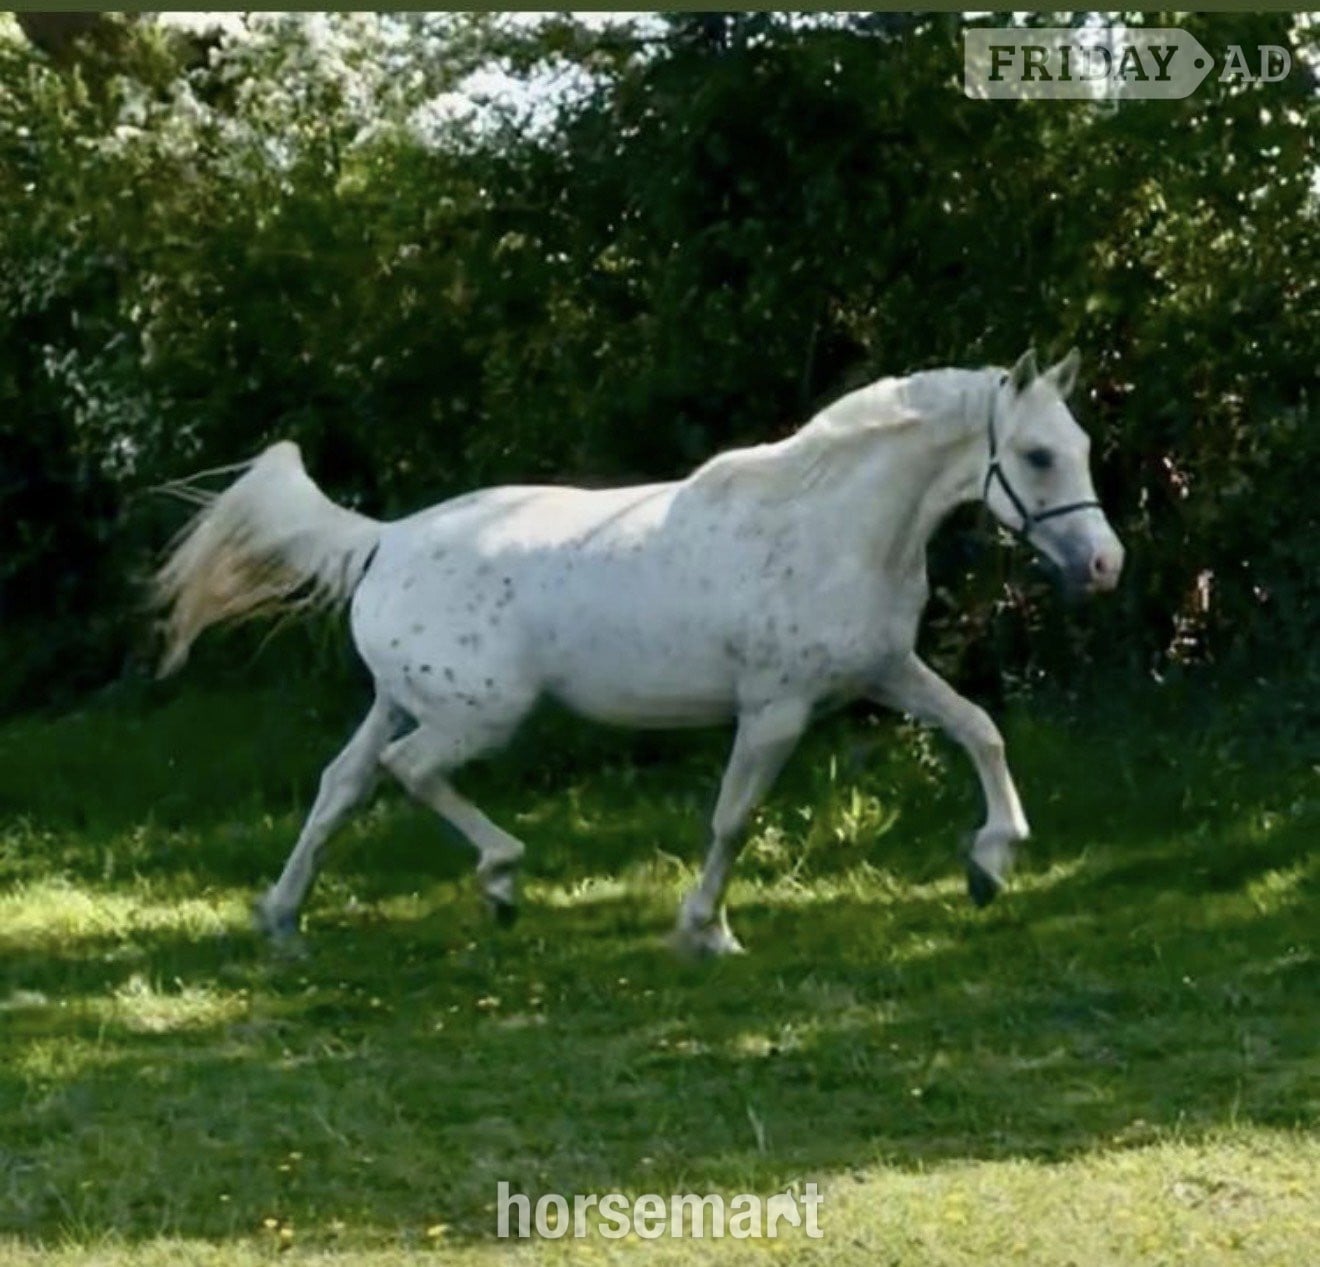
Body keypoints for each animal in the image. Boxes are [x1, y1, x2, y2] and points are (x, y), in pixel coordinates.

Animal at [154, 347, 1123, 955]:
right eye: (1038, 455)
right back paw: (500, 879)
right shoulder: (776, 708)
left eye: (1077, 447)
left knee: (342, 785)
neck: (831, 524)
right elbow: (733, 816)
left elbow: (979, 728)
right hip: (478, 715)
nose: (1106, 564)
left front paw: (992, 861)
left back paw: (283, 917)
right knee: (408, 772)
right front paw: (706, 930)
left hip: (397, 699)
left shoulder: (884, 671)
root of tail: (385, 540)